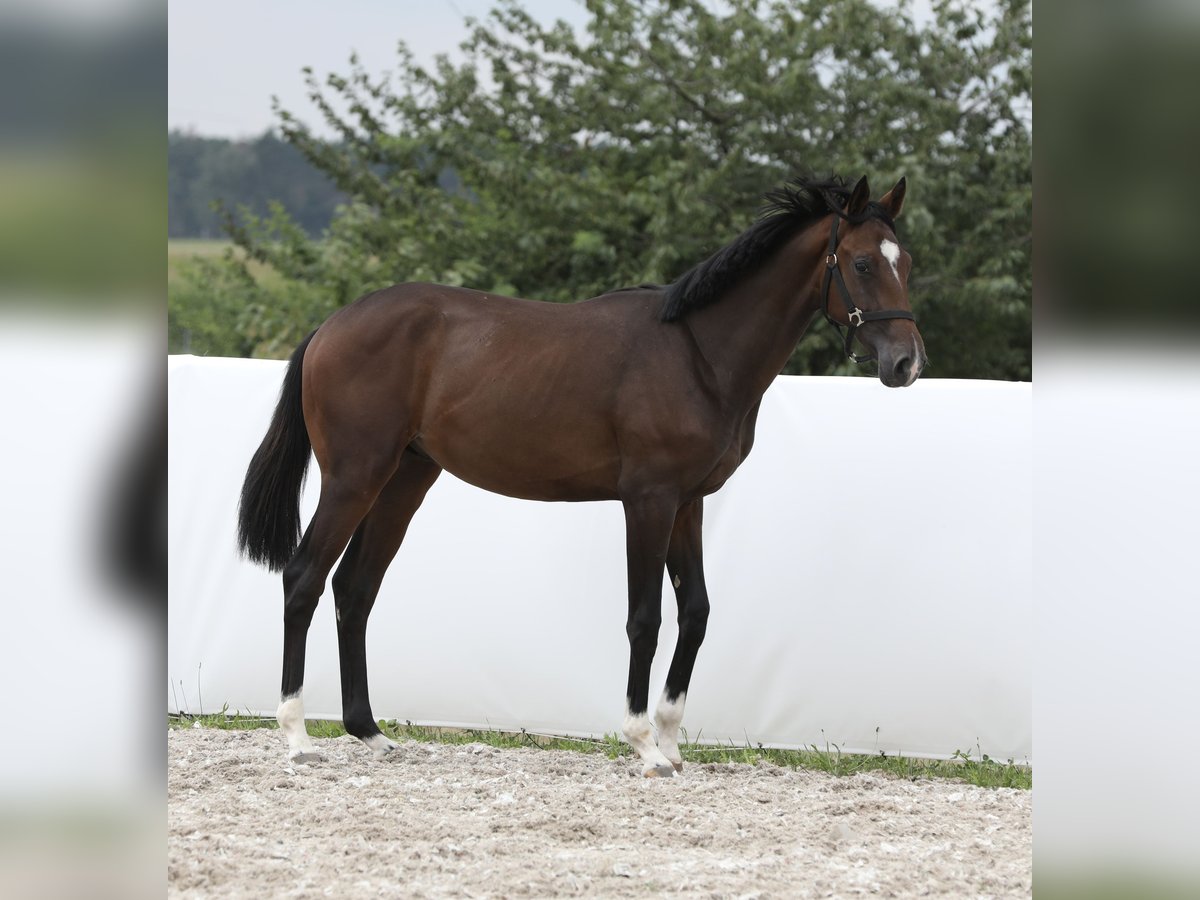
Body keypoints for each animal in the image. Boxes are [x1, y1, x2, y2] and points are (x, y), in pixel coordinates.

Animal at [236, 174, 926, 777]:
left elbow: (696, 611)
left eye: (907, 262)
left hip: (404, 481)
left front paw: (672, 742)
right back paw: (297, 738)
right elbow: (645, 617)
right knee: (303, 579)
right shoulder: (647, 501)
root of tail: (332, 326)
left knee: (354, 589)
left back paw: (370, 733)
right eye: (862, 264)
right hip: (355, 478)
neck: (698, 354)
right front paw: (644, 746)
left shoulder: (688, 503)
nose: (906, 363)